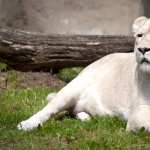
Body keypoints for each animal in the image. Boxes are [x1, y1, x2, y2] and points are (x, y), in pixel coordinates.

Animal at [17, 15, 150, 132]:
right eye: (140, 35)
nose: (143, 49)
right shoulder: (137, 114)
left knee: (72, 110)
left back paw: (86, 117)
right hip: (73, 87)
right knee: (49, 109)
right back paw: (27, 125)